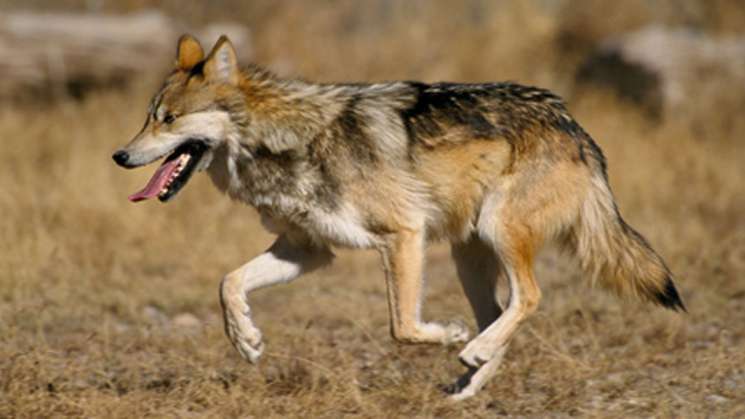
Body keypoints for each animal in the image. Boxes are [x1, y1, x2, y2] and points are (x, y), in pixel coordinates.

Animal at [112, 35, 685, 400]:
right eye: (147, 117)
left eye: (169, 119)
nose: (119, 155)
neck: (285, 141)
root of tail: (573, 124)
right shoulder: (307, 250)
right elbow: (228, 283)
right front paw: (247, 340)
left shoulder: (403, 235)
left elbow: (403, 327)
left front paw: (447, 335)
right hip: (469, 256)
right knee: (501, 313)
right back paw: (467, 382)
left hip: (496, 233)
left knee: (529, 298)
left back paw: (470, 349)